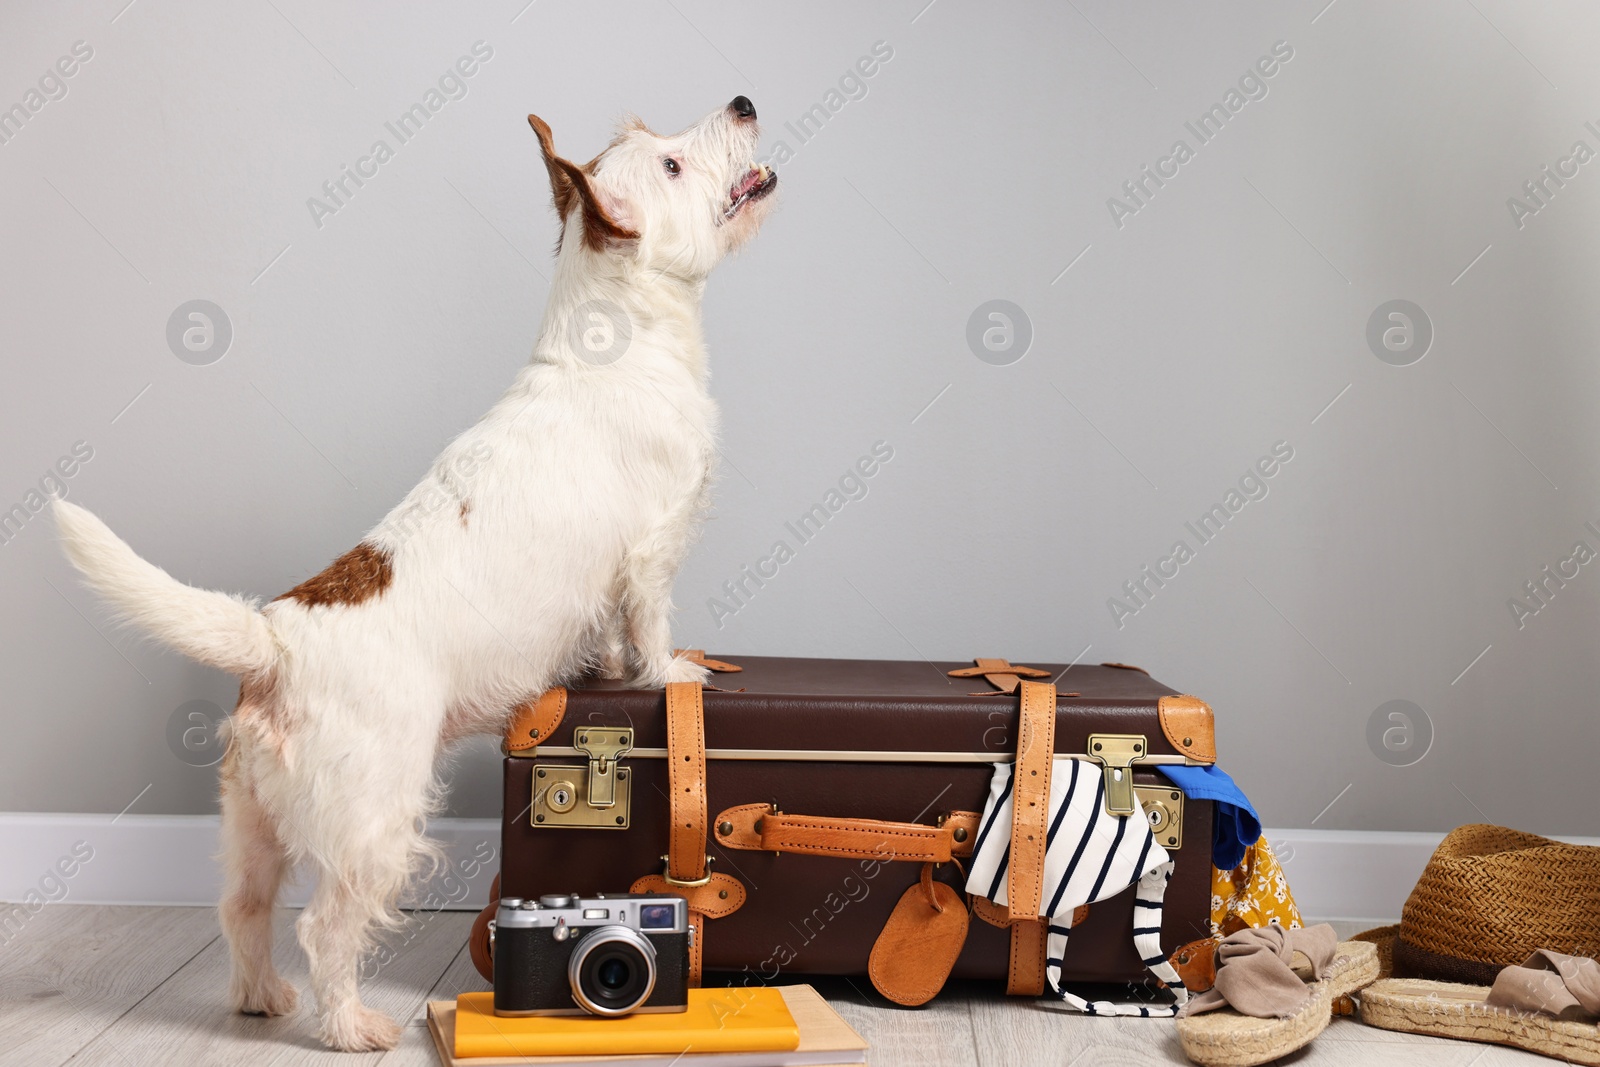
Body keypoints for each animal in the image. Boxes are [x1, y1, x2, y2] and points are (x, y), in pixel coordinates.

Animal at [59, 95, 784, 1049]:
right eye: (669, 163)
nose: (743, 102)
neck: (616, 334)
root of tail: (274, 640)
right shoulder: (651, 553)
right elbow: (649, 625)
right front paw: (669, 672)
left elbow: (608, 634)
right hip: (375, 815)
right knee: (325, 924)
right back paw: (350, 1024)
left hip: (252, 819)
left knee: (243, 907)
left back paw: (260, 996)